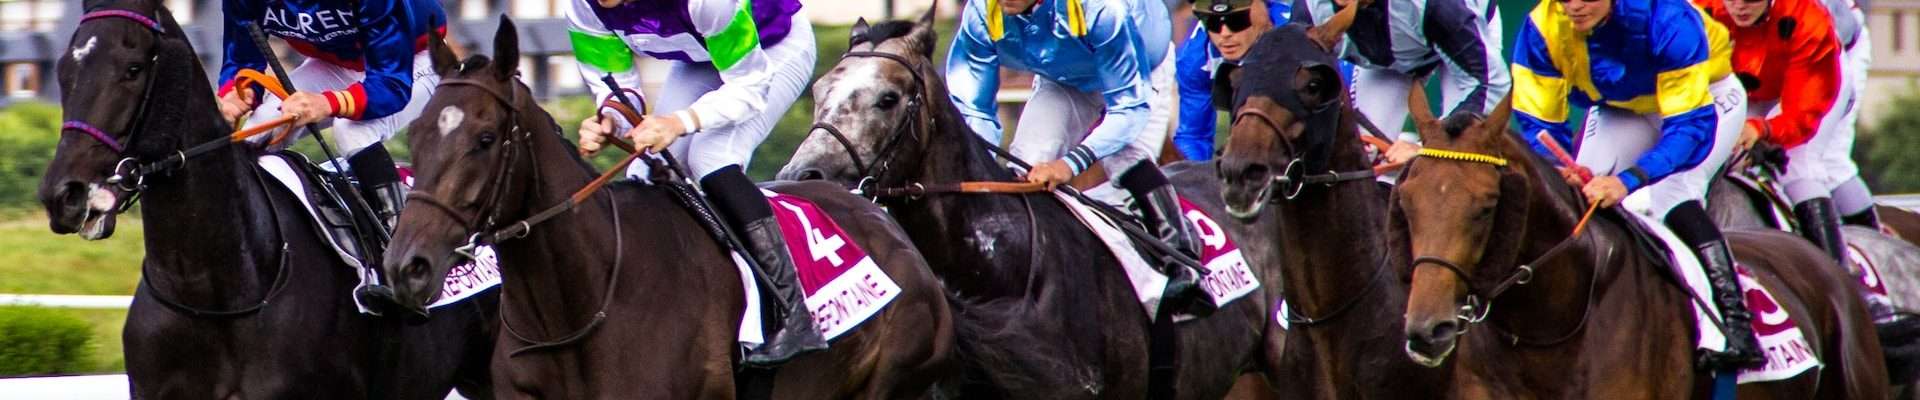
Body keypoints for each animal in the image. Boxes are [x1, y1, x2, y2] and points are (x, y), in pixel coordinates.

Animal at [36, 0, 495, 396]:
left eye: (132, 69)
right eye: (63, 69)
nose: (65, 195)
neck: (211, 290)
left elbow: (390, 83)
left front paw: (307, 107)